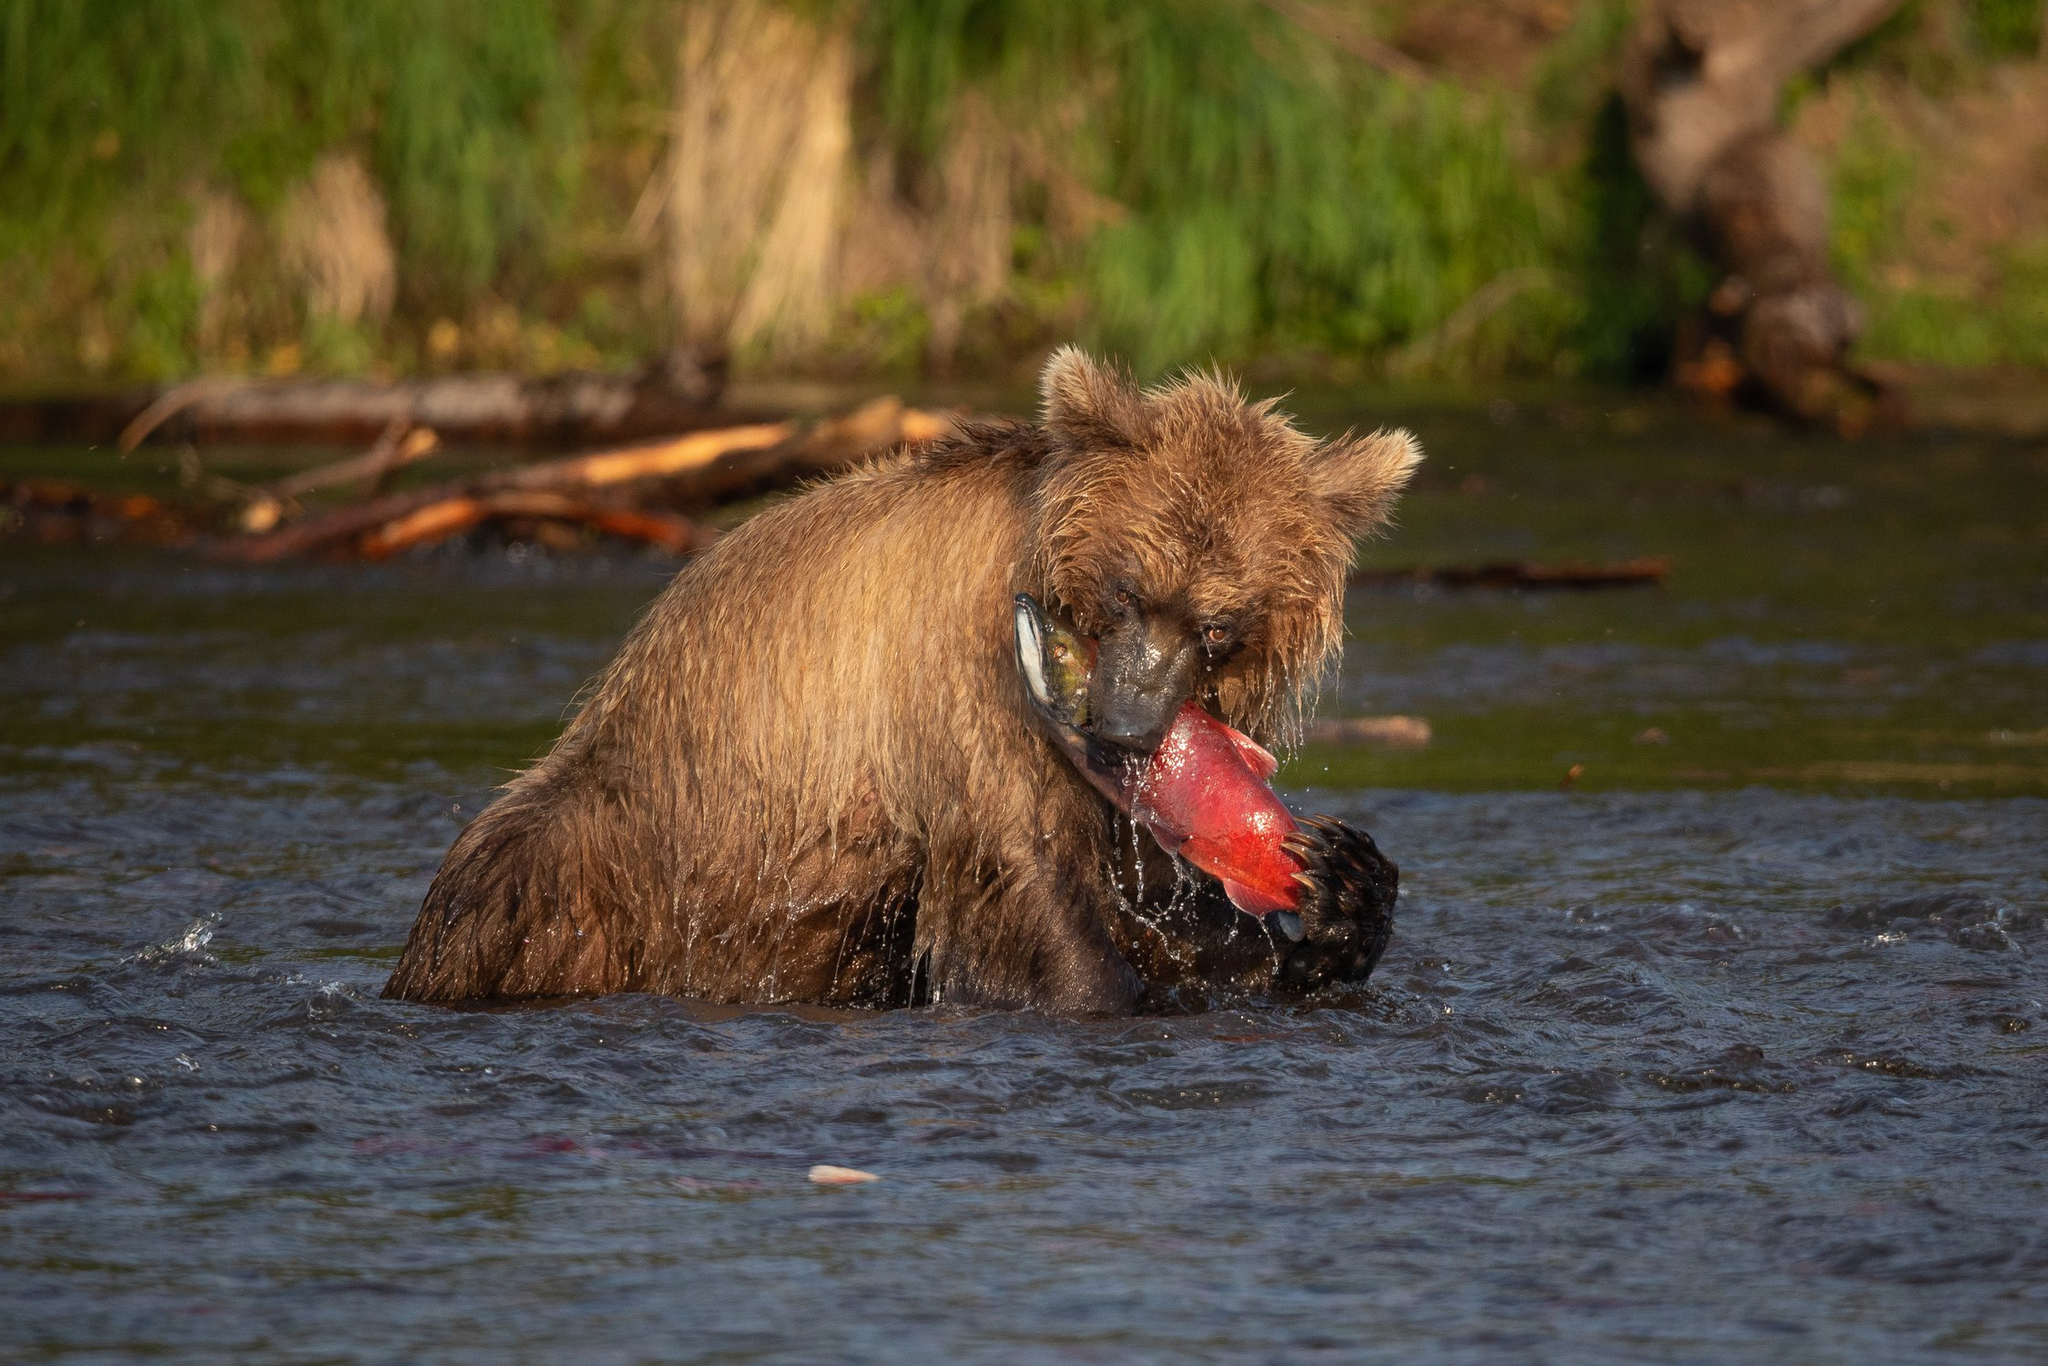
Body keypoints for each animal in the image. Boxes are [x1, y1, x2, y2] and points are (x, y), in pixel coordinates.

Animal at [385, 352, 1417, 1015]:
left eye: (1217, 625)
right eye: (1130, 588)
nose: (1124, 726)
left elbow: (1155, 890)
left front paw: (1339, 886)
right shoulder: (963, 686)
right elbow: (1027, 886)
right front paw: (1104, 987)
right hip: (602, 865)